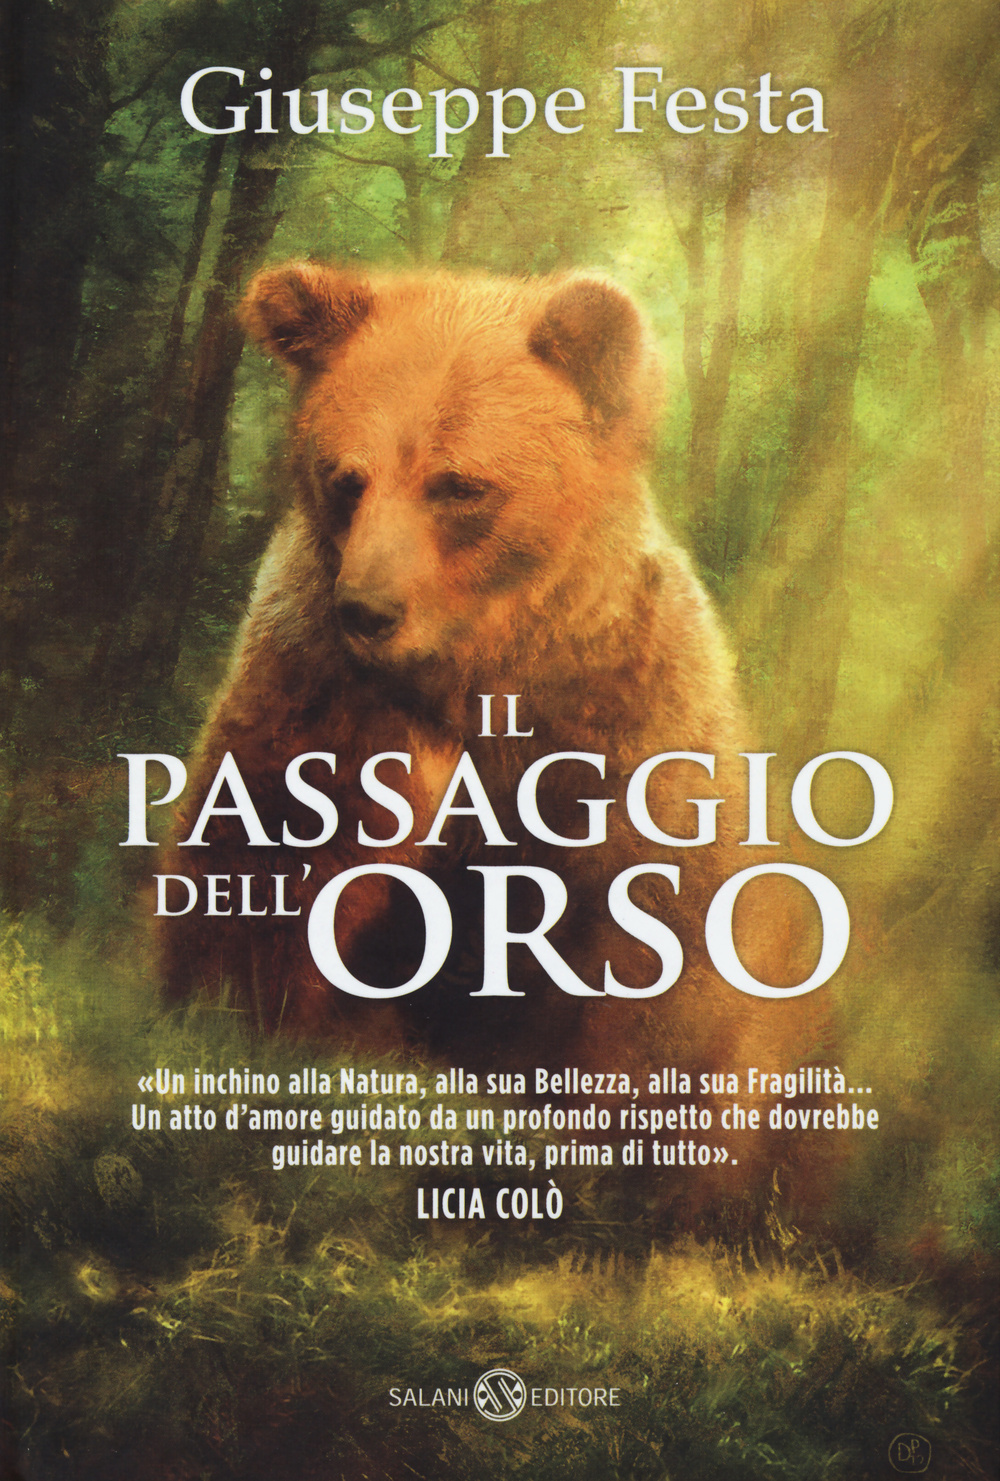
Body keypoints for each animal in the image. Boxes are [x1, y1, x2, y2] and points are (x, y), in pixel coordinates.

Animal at [161, 262, 826, 1110]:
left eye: (458, 485)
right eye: (346, 476)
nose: (368, 610)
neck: (476, 664)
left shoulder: (628, 739)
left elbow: (654, 971)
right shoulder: (317, 694)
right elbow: (260, 866)